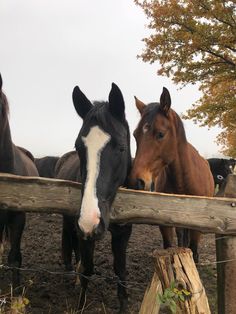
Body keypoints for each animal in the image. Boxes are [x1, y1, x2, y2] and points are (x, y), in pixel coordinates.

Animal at [56, 82, 132, 312]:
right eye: (79, 147)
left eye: (121, 147)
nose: (90, 221)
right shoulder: (84, 232)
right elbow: (88, 270)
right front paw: (80, 304)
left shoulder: (123, 234)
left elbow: (120, 270)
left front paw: (124, 306)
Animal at [128, 86, 215, 262]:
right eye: (135, 134)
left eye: (160, 134)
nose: (136, 181)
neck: (185, 180)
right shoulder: (165, 223)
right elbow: (169, 246)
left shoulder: (198, 226)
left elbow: (194, 251)